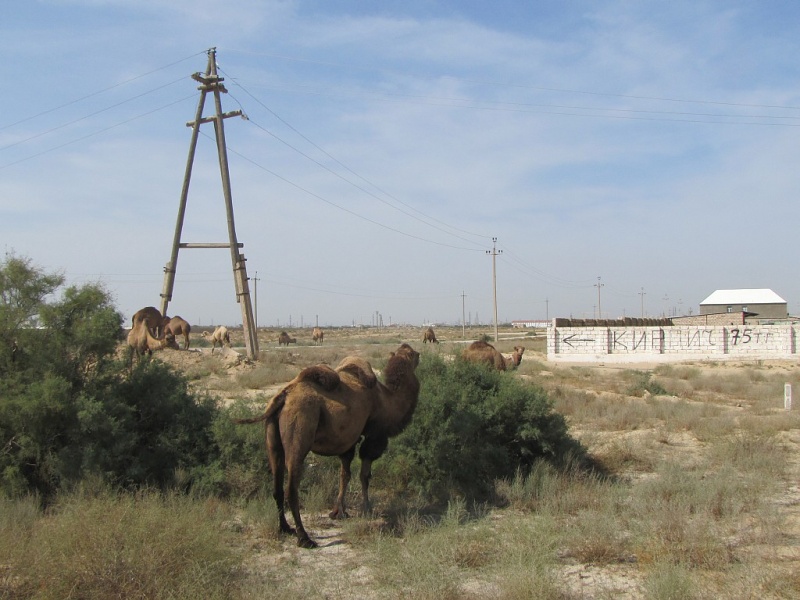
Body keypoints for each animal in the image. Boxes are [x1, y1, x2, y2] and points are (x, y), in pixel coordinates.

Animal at [234, 342, 422, 548]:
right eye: (412, 354)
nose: (419, 354)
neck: (389, 400)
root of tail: (283, 396)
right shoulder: (374, 436)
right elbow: (364, 475)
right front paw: (367, 508)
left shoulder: (349, 440)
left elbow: (344, 474)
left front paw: (339, 512)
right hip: (301, 428)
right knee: (292, 488)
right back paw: (304, 538)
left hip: (272, 436)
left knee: (276, 485)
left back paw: (285, 528)